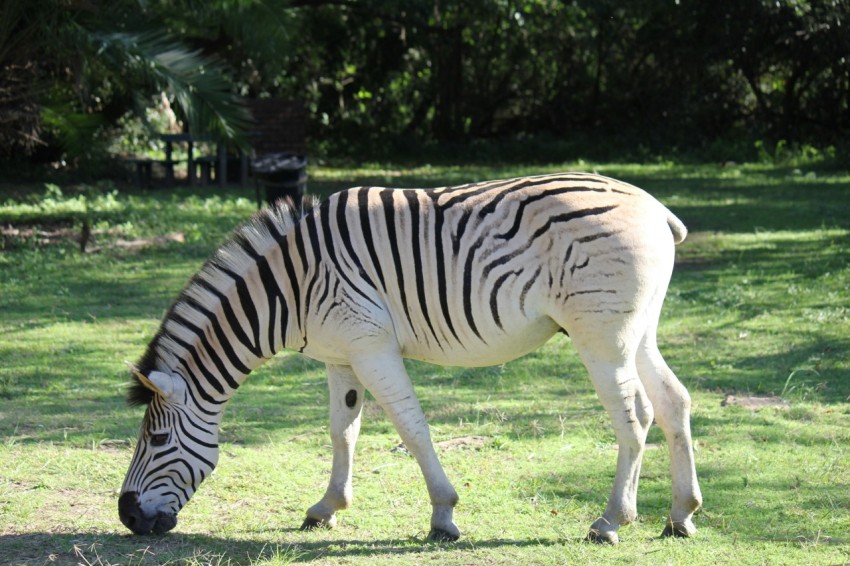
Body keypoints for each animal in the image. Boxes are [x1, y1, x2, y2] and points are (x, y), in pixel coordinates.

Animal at [119, 172, 704, 544]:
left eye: (157, 441)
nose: (126, 516)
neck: (289, 290)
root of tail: (653, 206)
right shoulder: (340, 356)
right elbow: (343, 432)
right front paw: (326, 509)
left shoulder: (371, 345)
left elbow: (410, 428)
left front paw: (443, 517)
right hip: (639, 331)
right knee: (673, 403)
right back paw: (679, 516)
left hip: (601, 336)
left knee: (635, 417)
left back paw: (611, 522)